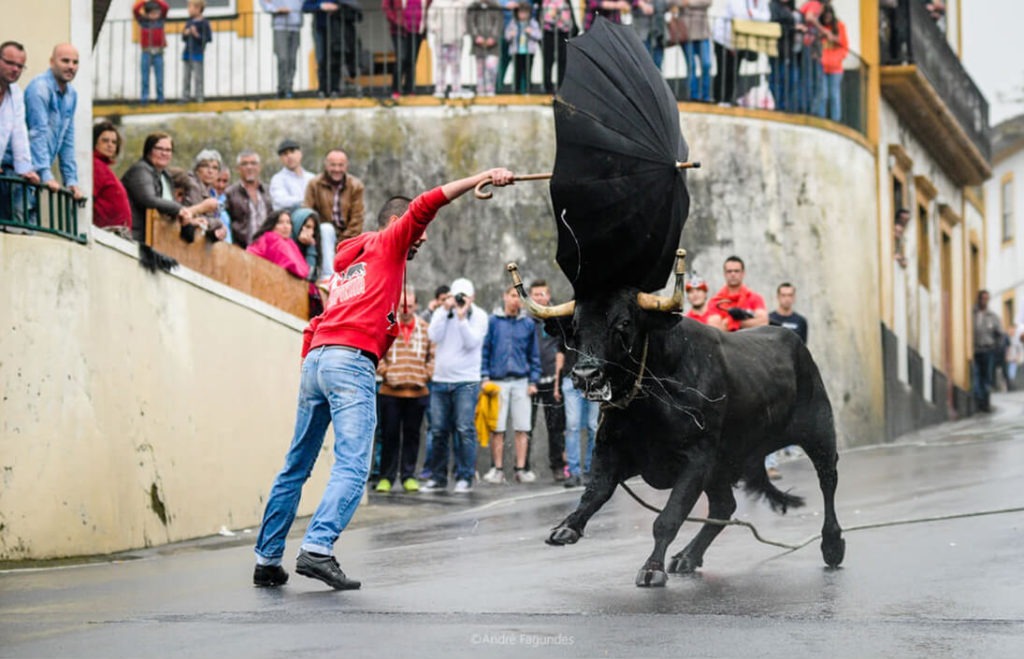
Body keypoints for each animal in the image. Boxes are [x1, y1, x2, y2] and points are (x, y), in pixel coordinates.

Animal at [548, 288, 843, 585]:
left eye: (624, 323)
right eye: (574, 327)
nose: (586, 374)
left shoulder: (697, 459)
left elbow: (669, 517)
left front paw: (652, 569)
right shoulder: (612, 451)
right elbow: (594, 493)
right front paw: (566, 528)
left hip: (820, 432)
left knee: (828, 481)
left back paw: (832, 546)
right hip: (722, 465)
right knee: (724, 505)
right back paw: (687, 557)